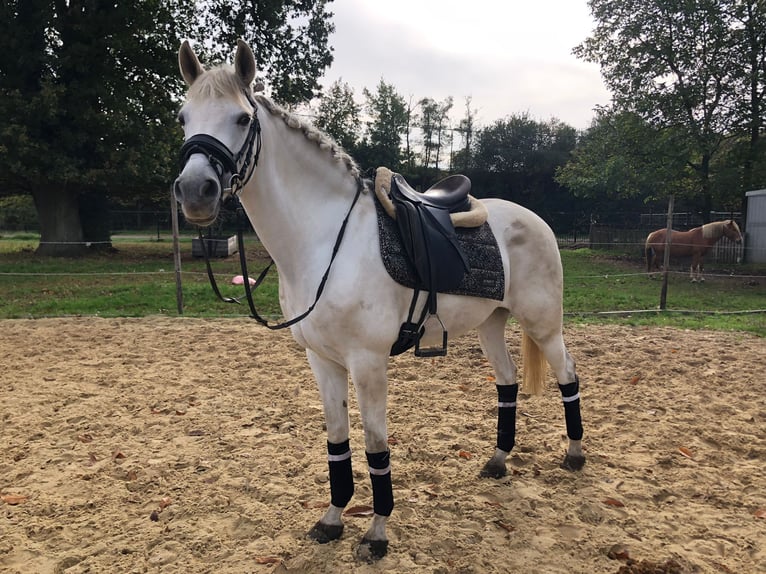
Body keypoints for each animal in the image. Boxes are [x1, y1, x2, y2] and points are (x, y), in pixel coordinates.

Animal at [173, 39, 585, 562]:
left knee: (568, 374)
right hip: (492, 324)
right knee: (507, 382)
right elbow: (338, 441)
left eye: (242, 118)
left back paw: (575, 455)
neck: (325, 239)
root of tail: (536, 220)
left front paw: (377, 532)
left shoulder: (368, 363)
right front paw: (332, 519)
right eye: (183, 117)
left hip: (543, 323)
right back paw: (497, 460)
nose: (195, 191)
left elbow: (374, 445)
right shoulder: (322, 361)